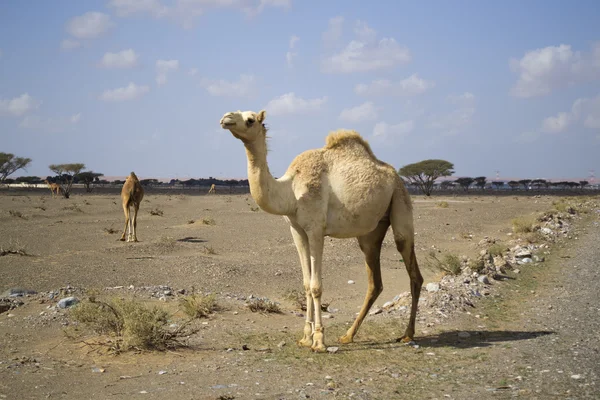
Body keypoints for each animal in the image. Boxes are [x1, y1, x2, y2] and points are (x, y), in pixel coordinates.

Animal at [219, 109, 422, 354]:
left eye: (250, 120)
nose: (226, 118)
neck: (291, 190)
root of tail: (396, 176)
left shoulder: (316, 229)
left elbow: (316, 286)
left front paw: (318, 341)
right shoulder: (297, 230)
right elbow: (306, 284)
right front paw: (305, 337)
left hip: (401, 199)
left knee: (413, 270)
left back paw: (408, 334)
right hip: (370, 233)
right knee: (375, 281)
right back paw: (348, 335)